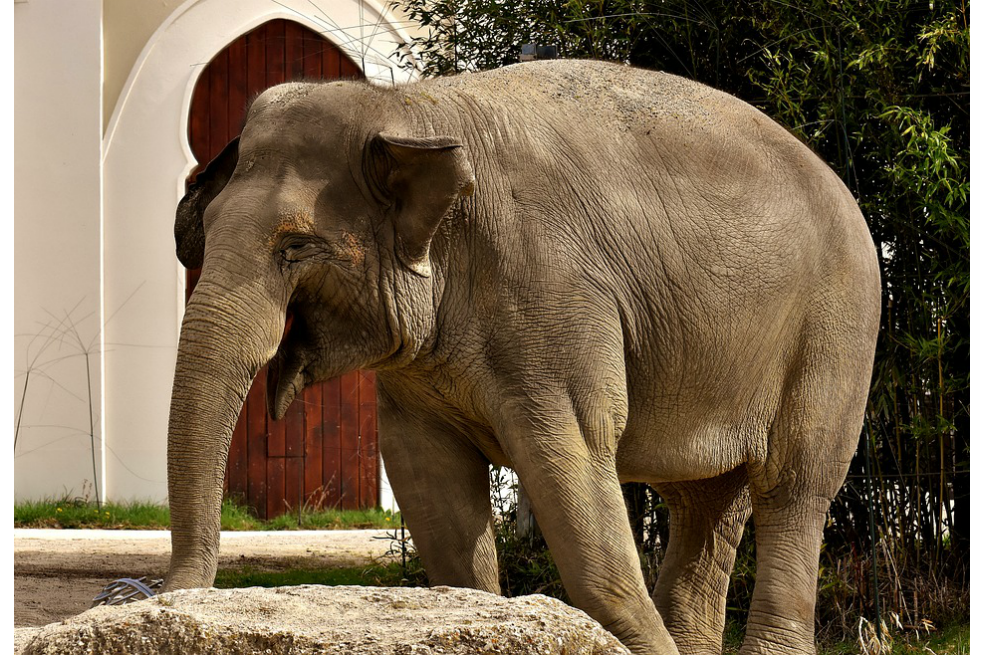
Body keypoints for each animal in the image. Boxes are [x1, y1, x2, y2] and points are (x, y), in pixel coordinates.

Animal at [166, 59, 880, 655]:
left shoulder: (552, 296)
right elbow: (430, 484)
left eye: (295, 247)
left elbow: (572, 459)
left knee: (794, 488)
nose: (168, 597)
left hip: (836, 334)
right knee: (706, 501)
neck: (409, 107)